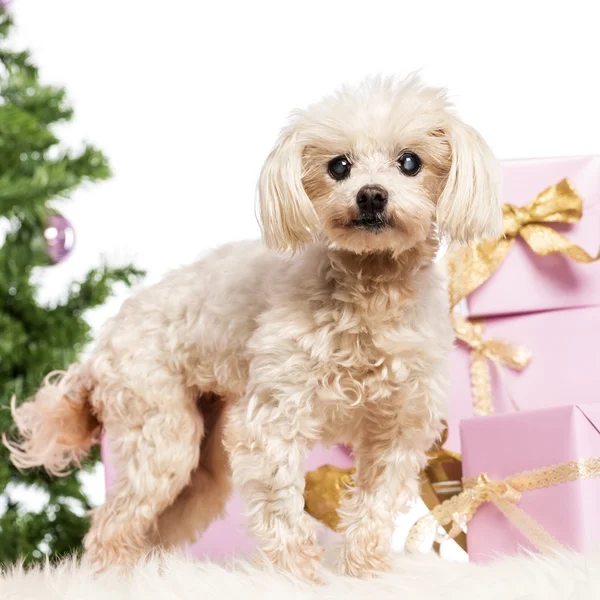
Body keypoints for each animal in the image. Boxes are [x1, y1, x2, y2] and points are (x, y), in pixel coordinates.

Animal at [5, 75, 502, 580]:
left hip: (199, 469)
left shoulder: (397, 428)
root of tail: (98, 348)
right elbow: (283, 509)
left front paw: (364, 572)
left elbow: (373, 508)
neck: (369, 293)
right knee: (110, 524)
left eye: (410, 162)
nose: (371, 195)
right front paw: (299, 575)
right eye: (339, 166)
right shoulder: (272, 421)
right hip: (163, 436)